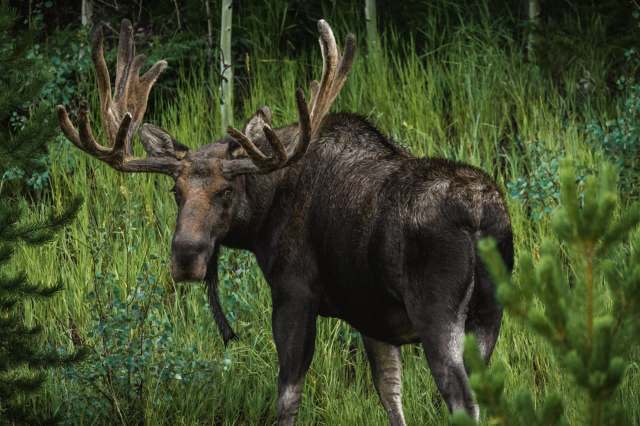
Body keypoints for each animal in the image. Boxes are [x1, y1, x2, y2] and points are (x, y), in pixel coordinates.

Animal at [57, 19, 513, 425]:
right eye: (175, 190)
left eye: (227, 190)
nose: (186, 256)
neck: (262, 219)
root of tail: (480, 216)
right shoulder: (372, 314)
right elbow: (390, 393)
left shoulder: (294, 293)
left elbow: (288, 396)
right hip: (490, 313)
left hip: (436, 312)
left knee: (462, 400)